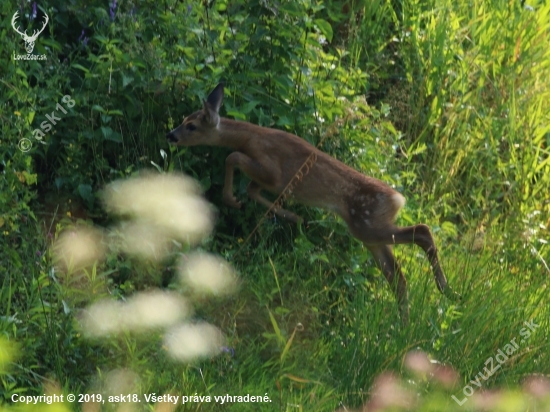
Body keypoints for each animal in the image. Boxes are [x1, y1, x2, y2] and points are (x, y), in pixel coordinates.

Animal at [167, 83, 462, 322]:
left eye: (192, 125)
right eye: (183, 119)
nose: (171, 135)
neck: (251, 138)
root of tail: (397, 198)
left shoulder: (273, 171)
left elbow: (233, 158)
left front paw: (232, 199)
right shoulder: (269, 181)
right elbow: (251, 189)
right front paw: (292, 217)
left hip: (367, 223)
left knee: (422, 232)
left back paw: (445, 290)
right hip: (368, 234)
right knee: (398, 276)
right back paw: (404, 322)